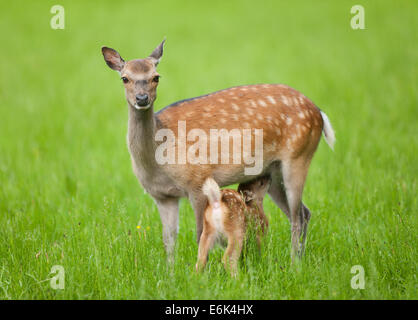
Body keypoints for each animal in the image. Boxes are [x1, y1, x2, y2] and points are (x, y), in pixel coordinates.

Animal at [102, 38, 336, 262]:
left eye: (156, 77)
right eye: (125, 78)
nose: (142, 98)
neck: (157, 157)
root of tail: (319, 112)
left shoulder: (197, 181)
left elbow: (199, 234)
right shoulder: (162, 195)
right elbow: (168, 241)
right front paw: (170, 273)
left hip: (298, 155)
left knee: (297, 216)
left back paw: (294, 264)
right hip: (272, 171)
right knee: (303, 213)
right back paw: (299, 259)